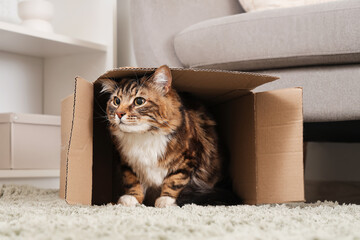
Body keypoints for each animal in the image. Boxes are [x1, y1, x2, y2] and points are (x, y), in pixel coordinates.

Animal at [100, 64, 239, 207]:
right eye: (116, 101)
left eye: (139, 101)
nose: (119, 113)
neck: (143, 135)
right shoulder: (126, 162)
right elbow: (132, 180)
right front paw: (131, 198)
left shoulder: (188, 159)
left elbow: (174, 180)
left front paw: (166, 200)